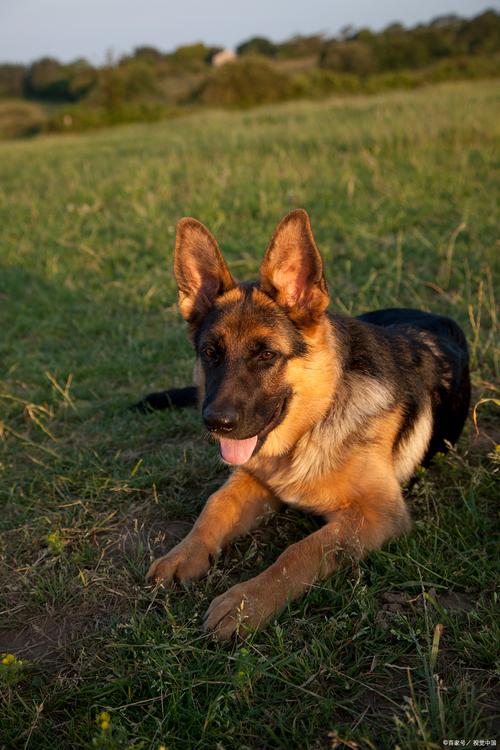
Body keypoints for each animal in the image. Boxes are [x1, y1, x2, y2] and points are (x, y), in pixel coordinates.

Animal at [140, 210, 468, 640]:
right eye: (210, 353)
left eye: (266, 355)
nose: (216, 423)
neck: (312, 424)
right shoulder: (254, 479)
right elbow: (216, 504)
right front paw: (184, 554)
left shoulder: (378, 513)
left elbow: (301, 551)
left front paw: (245, 603)